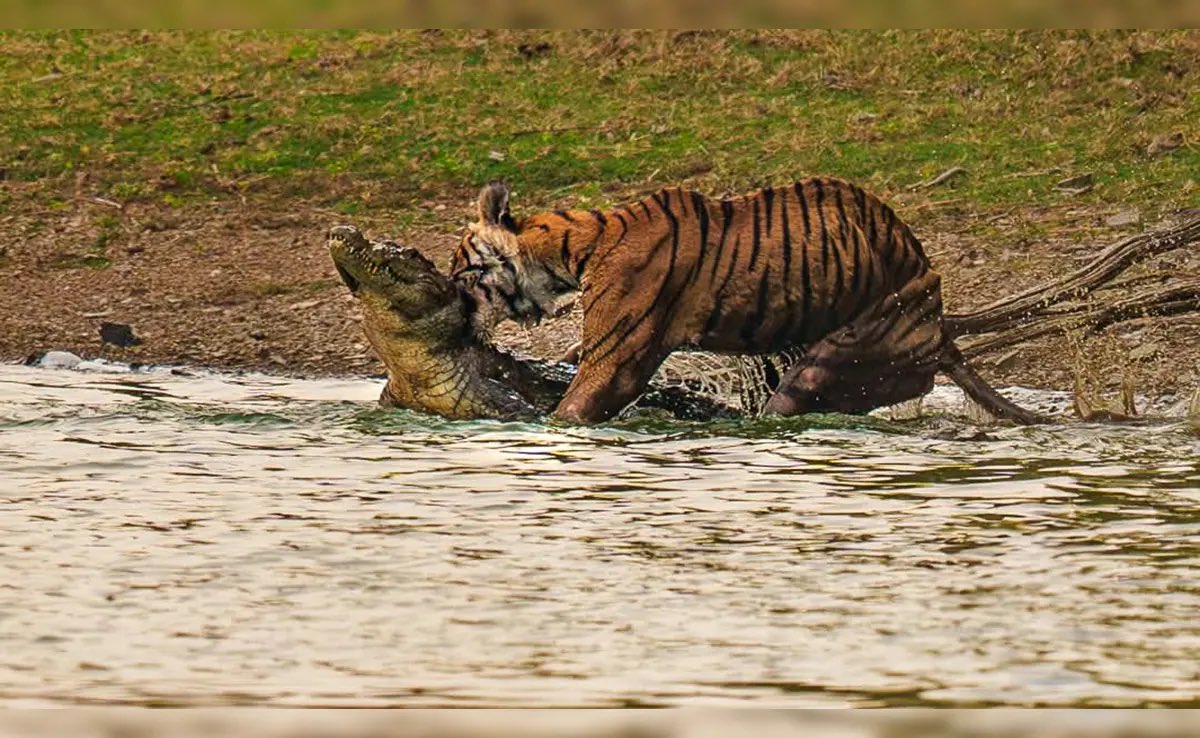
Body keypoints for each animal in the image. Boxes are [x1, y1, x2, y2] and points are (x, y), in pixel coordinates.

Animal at [450, 177, 1041, 425]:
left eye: (463, 273)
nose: (454, 310)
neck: (576, 248)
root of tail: (940, 330)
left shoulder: (614, 358)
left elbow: (575, 403)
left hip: (838, 361)